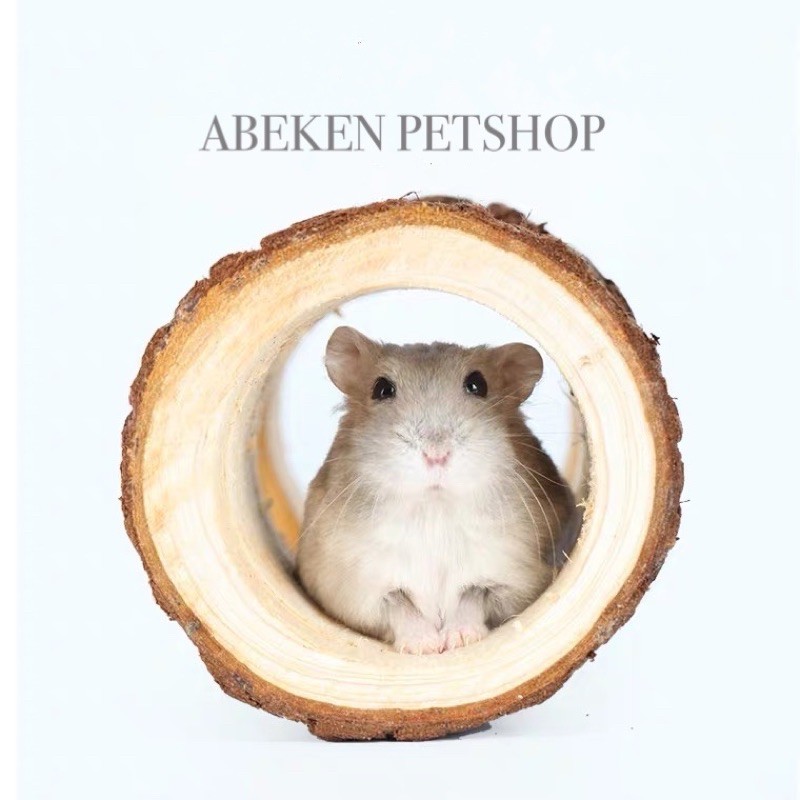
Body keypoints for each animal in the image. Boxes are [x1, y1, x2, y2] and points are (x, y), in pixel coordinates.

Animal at [295, 326, 580, 654]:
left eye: (477, 385)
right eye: (381, 389)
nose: (436, 455)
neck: (434, 505)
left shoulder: (512, 577)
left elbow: (474, 594)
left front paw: (459, 640)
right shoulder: (359, 587)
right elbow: (397, 603)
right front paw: (425, 647)